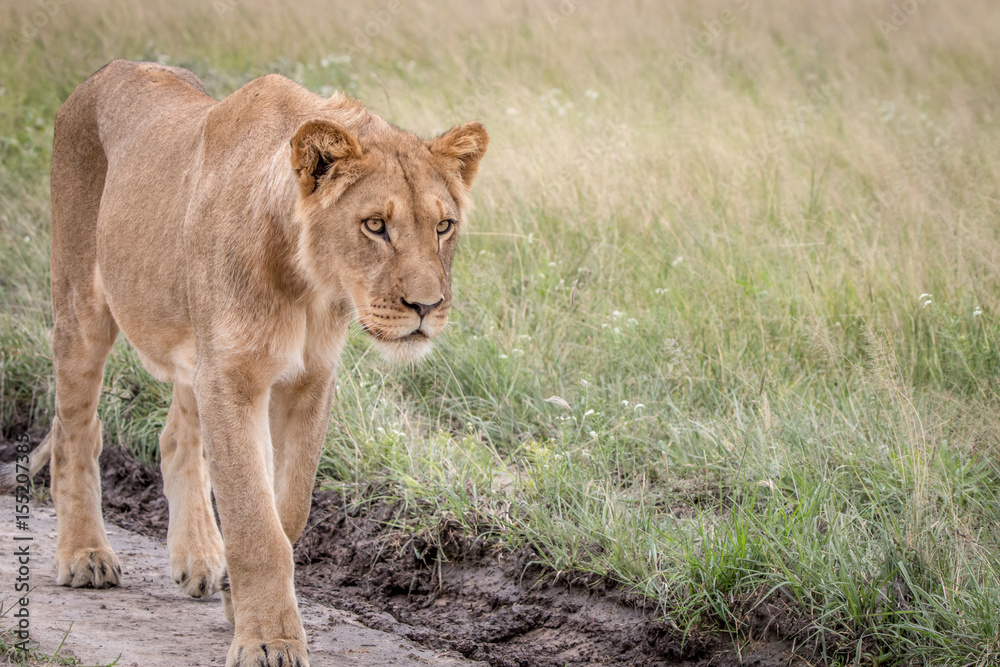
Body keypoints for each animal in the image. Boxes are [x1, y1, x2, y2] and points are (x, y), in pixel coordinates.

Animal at [8, 59, 488, 667]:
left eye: (444, 226)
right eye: (375, 225)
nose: (426, 307)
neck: (308, 285)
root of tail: (107, 69)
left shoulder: (307, 380)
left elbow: (287, 510)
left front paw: (239, 600)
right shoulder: (231, 377)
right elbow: (255, 522)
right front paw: (269, 639)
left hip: (193, 343)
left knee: (175, 438)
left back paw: (200, 558)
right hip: (81, 307)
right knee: (78, 432)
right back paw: (85, 555)